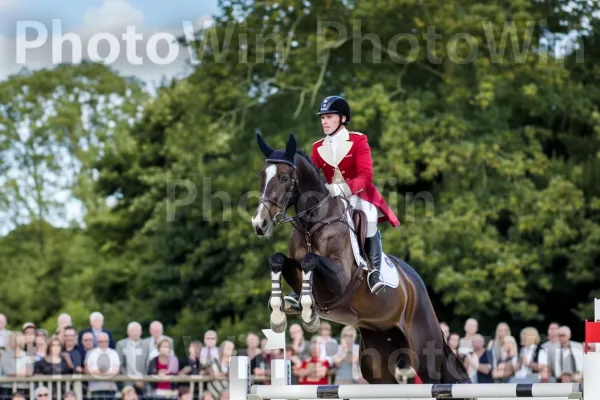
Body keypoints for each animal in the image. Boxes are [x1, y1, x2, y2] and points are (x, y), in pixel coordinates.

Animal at [248, 134, 468, 384]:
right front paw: (279, 314)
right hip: (377, 357)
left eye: (285, 178)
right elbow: (277, 259)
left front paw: (309, 316)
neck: (311, 225)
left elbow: (310, 261)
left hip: (424, 354)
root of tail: (418, 286)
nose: (259, 224)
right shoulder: (295, 270)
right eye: (261, 176)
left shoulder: (339, 280)